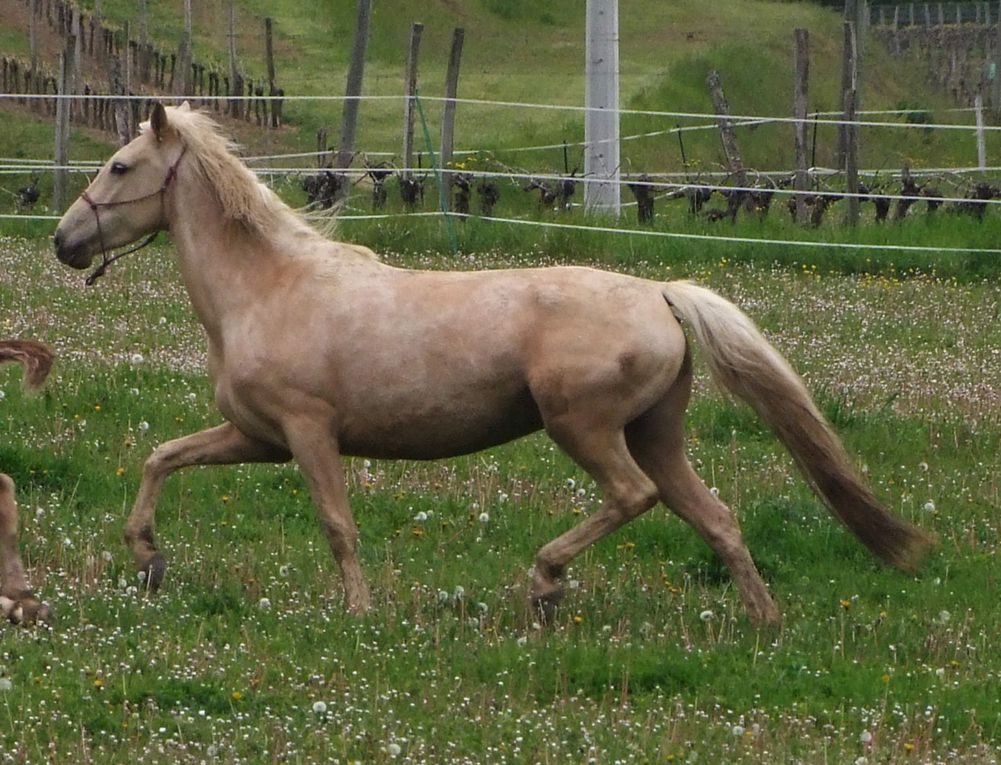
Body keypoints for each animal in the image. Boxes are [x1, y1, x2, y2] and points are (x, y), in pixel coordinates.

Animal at [52, 104, 928, 624]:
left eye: (120, 166)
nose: (65, 241)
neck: (267, 287)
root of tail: (659, 294)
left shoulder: (307, 432)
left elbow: (337, 524)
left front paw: (359, 612)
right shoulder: (256, 437)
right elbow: (161, 456)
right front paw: (148, 560)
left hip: (585, 427)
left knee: (632, 496)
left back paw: (545, 582)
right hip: (657, 433)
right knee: (715, 517)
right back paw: (762, 621)